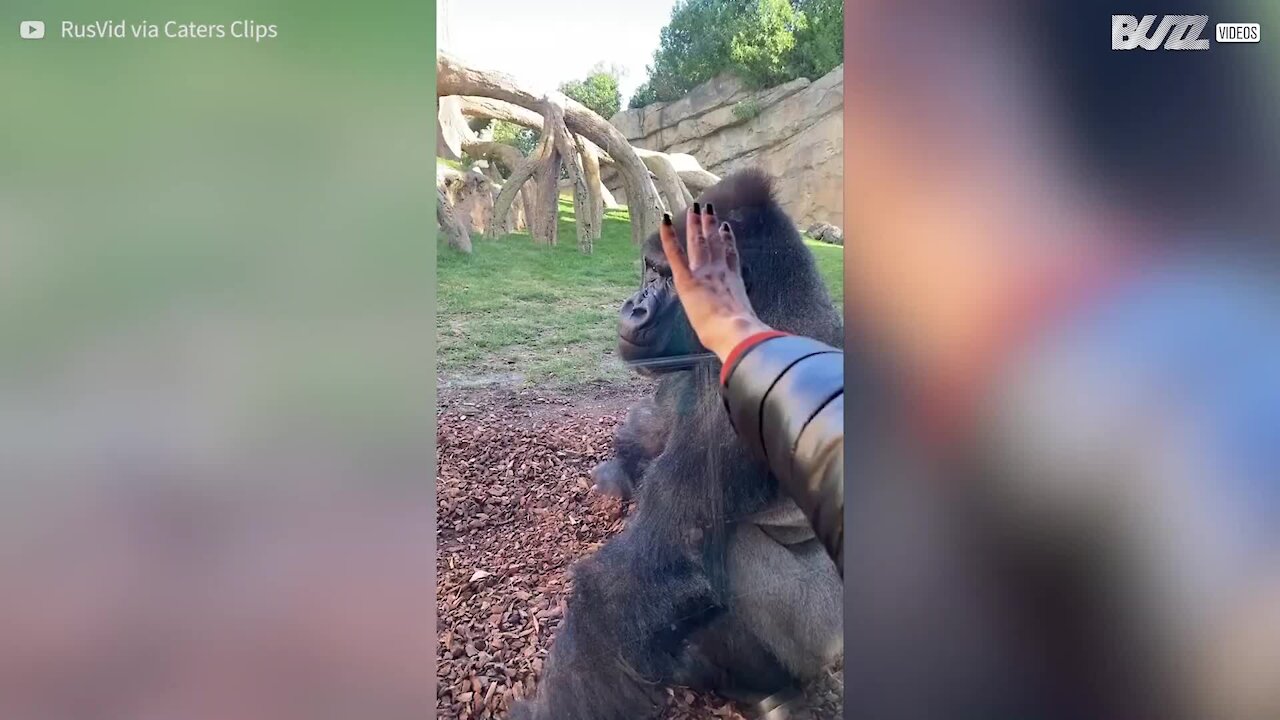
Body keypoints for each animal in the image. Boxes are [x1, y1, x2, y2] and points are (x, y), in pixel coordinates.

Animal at [509, 169, 849, 717]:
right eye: (649, 270)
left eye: (669, 276)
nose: (634, 306)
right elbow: (653, 426)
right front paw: (614, 477)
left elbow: (640, 577)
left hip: (822, 636)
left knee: (738, 554)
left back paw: (760, 687)